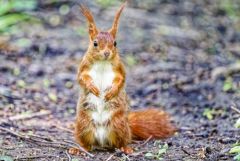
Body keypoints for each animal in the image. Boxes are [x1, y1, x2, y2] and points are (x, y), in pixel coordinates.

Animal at [69, 1, 176, 155]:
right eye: (95, 43)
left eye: (115, 43)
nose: (107, 53)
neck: (103, 63)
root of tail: (101, 140)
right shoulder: (84, 67)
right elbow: (81, 78)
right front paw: (92, 88)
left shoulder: (119, 68)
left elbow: (121, 79)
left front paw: (111, 92)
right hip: (83, 126)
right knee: (87, 144)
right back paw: (78, 149)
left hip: (118, 125)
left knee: (120, 142)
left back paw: (125, 148)